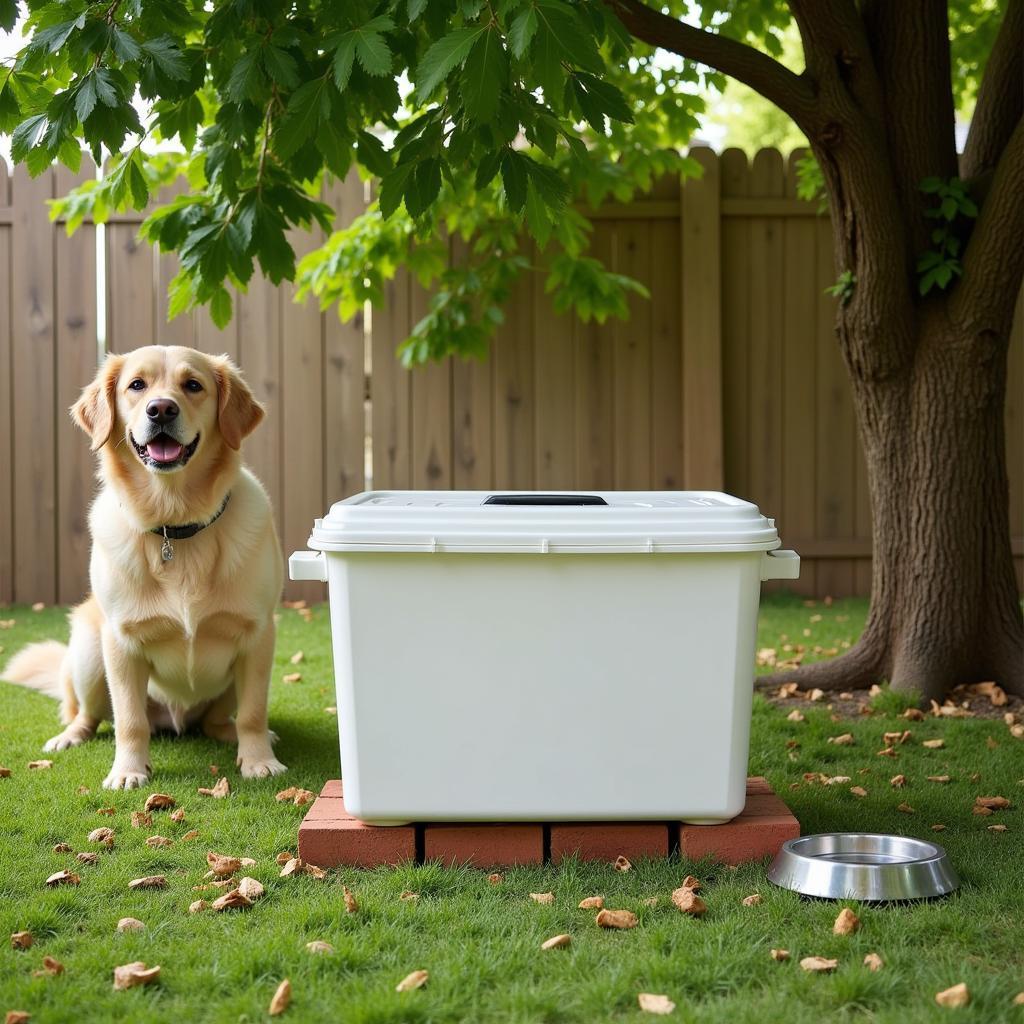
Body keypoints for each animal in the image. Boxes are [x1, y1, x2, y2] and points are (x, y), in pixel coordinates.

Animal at [4, 348, 286, 786]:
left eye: (193, 385)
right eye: (137, 385)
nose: (162, 409)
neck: (175, 525)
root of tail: (173, 722)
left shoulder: (258, 634)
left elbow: (254, 712)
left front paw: (258, 761)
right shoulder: (121, 642)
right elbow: (129, 720)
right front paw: (128, 771)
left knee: (218, 721)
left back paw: (236, 734)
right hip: (89, 650)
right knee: (87, 714)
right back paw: (70, 737)